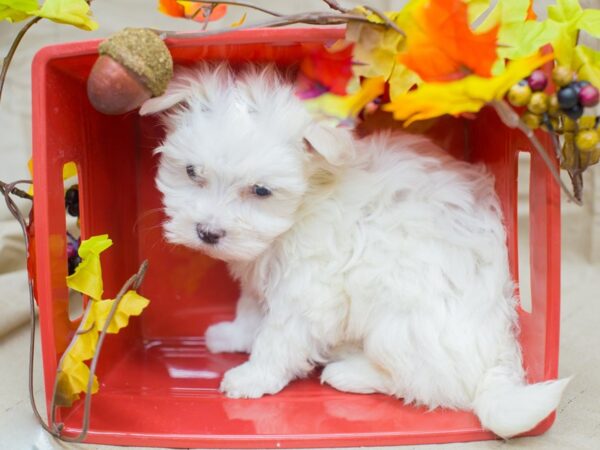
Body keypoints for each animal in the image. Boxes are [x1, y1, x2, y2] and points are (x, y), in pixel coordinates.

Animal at [141, 64, 568, 440]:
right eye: (192, 172)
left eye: (261, 191)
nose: (207, 232)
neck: (305, 204)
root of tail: (500, 353)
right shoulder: (264, 272)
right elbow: (251, 308)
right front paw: (234, 335)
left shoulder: (308, 293)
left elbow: (279, 337)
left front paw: (253, 375)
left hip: (395, 321)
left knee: (431, 383)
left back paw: (350, 372)